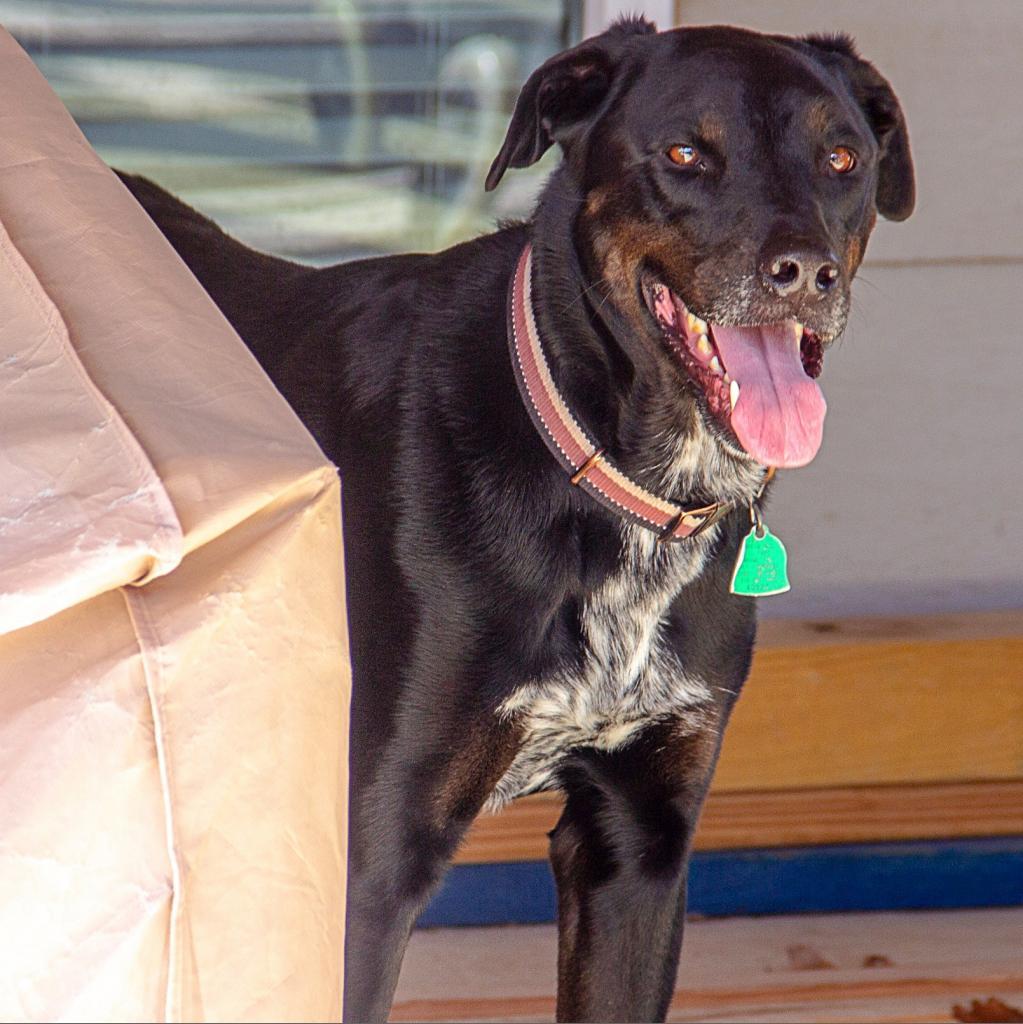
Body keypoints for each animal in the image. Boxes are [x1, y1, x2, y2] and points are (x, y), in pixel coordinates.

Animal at [116, 18, 917, 1024]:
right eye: (685, 154)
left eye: (841, 158)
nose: (805, 273)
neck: (609, 474)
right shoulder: (368, 860)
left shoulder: (638, 846)